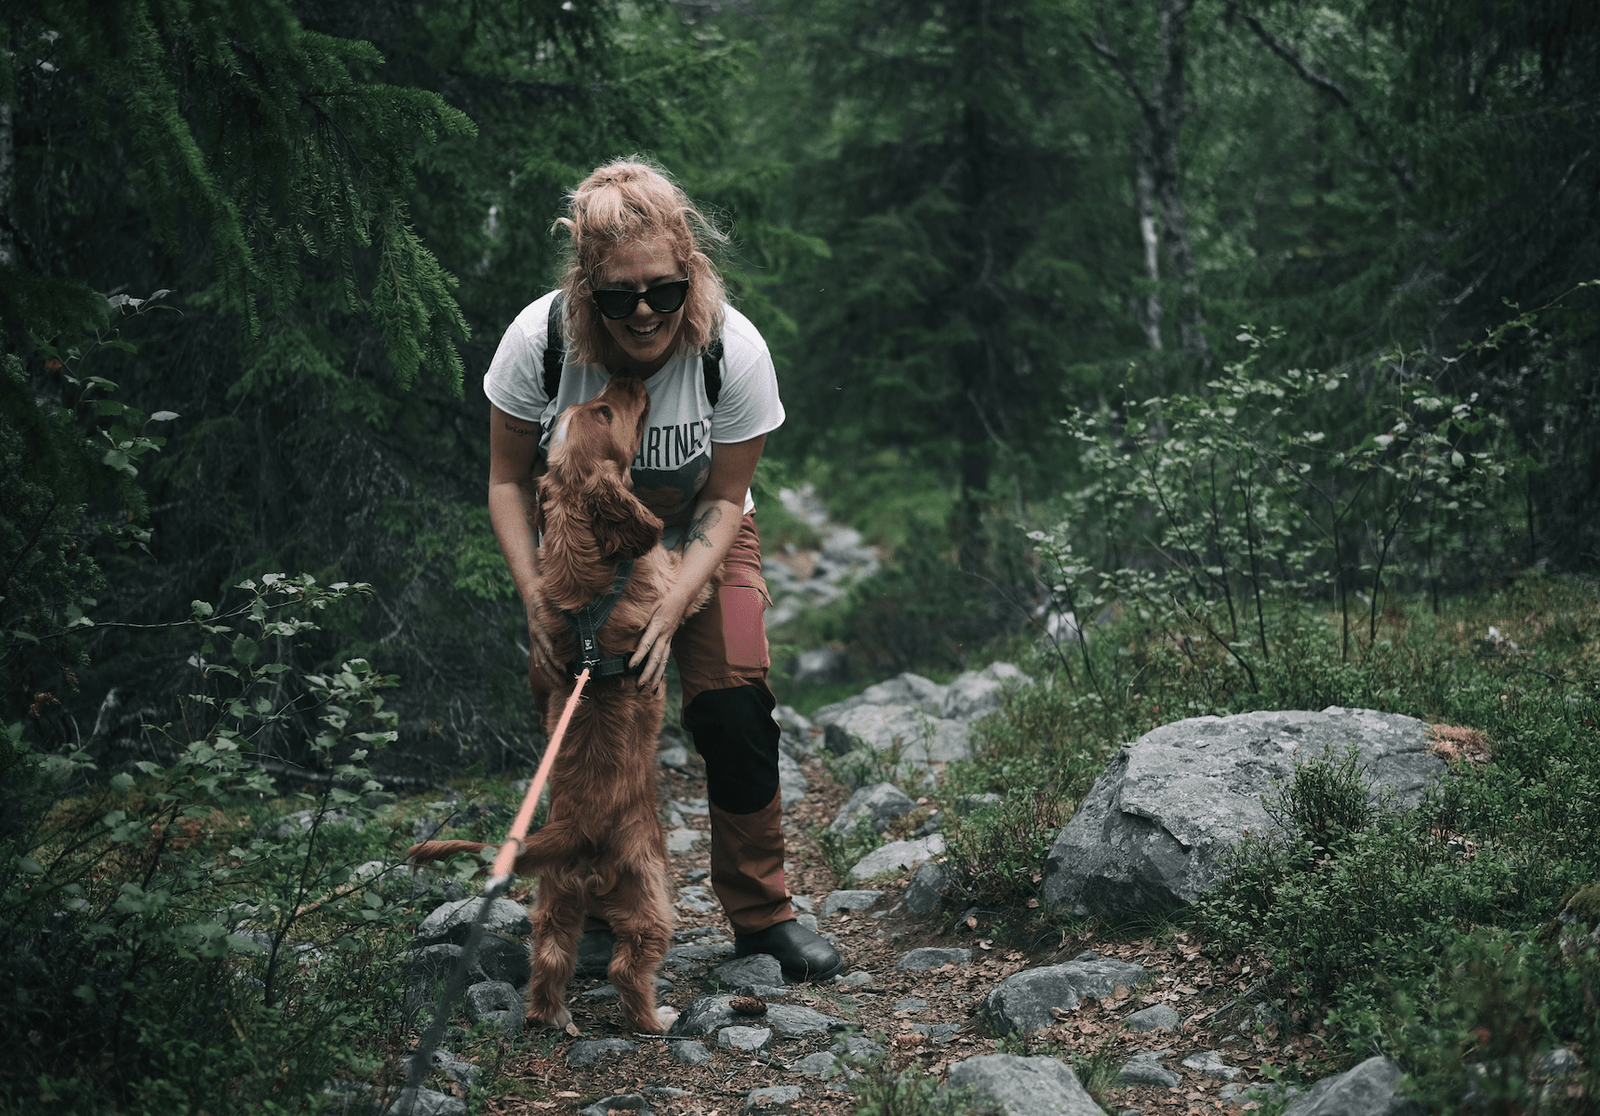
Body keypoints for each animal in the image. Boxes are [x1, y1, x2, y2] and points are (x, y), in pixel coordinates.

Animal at [409, 375, 710, 1036]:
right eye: (606, 411)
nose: (626, 379)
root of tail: (576, 829)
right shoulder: (661, 573)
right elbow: (684, 571)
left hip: (555, 896)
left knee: (548, 956)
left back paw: (551, 1017)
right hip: (651, 890)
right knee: (629, 965)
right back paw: (656, 1020)